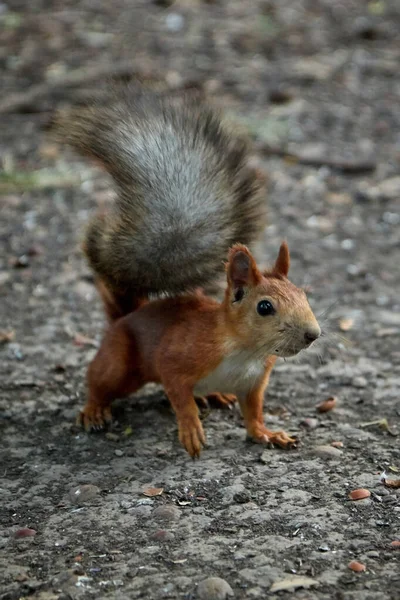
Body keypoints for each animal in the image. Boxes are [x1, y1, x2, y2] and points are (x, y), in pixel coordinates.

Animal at [57, 85, 322, 460]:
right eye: (264, 307)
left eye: (303, 295)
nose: (313, 334)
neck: (245, 352)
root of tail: (126, 316)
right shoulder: (177, 358)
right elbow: (180, 397)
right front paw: (191, 430)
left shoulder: (255, 384)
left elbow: (253, 412)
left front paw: (267, 433)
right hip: (119, 362)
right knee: (99, 381)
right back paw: (94, 410)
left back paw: (215, 395)